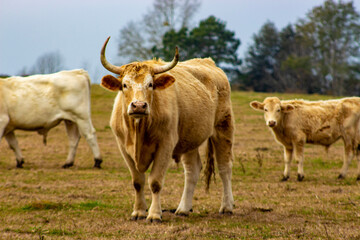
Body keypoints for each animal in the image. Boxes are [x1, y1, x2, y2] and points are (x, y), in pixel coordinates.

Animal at [99, 36, 233, 222]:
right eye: (125, 85)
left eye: (150, 84)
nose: (139, 105)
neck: (139, 129)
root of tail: (208, 63)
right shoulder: (123, 147)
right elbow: (137, 181)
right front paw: (138, 212)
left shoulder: (165, 145)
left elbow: (155, 182)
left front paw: (154, 214)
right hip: (189, 138)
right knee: (192, 170)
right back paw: (183, 209)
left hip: (223, 128)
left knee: (224, 168)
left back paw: (226, 207)